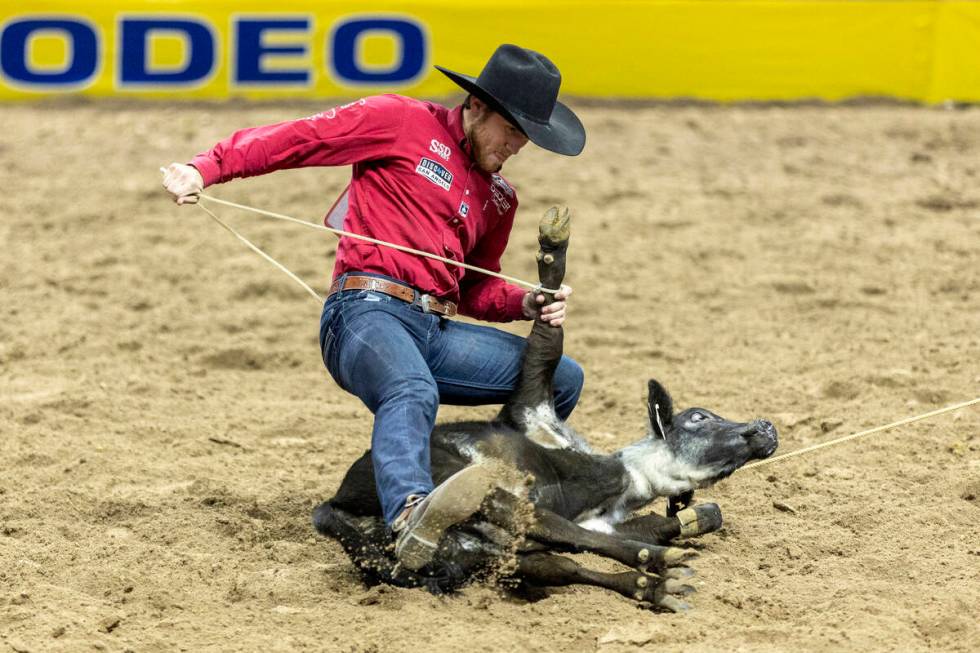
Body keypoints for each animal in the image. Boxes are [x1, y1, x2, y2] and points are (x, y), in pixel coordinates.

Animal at [312, 209, 772, 612]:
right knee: (557, 536)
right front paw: (553, 248)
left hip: (477, 550)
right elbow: (546, 343)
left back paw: (653, 587)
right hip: (475, 488)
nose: (765, 427)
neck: (628, 482)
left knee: (558, 563)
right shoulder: (531, 406)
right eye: (699, 417)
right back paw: (655, 562)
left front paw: (696, 518)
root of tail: (334, 506)